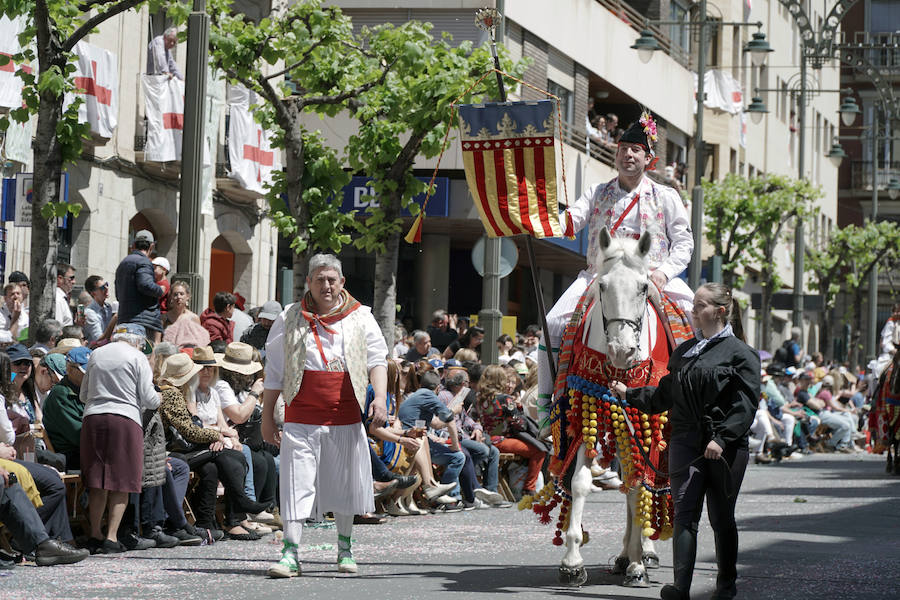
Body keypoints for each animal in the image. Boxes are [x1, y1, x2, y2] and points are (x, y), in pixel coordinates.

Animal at [556, 229, 676, 584]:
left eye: (644, 287)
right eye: (602, 285)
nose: (622, 351)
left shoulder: (644, 419)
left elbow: (639, 489)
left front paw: (637, 564)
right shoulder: (591, 411)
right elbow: (580, 483)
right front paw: (572, 561)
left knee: (645, 486)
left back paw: (641, 553)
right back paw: (624, 555)